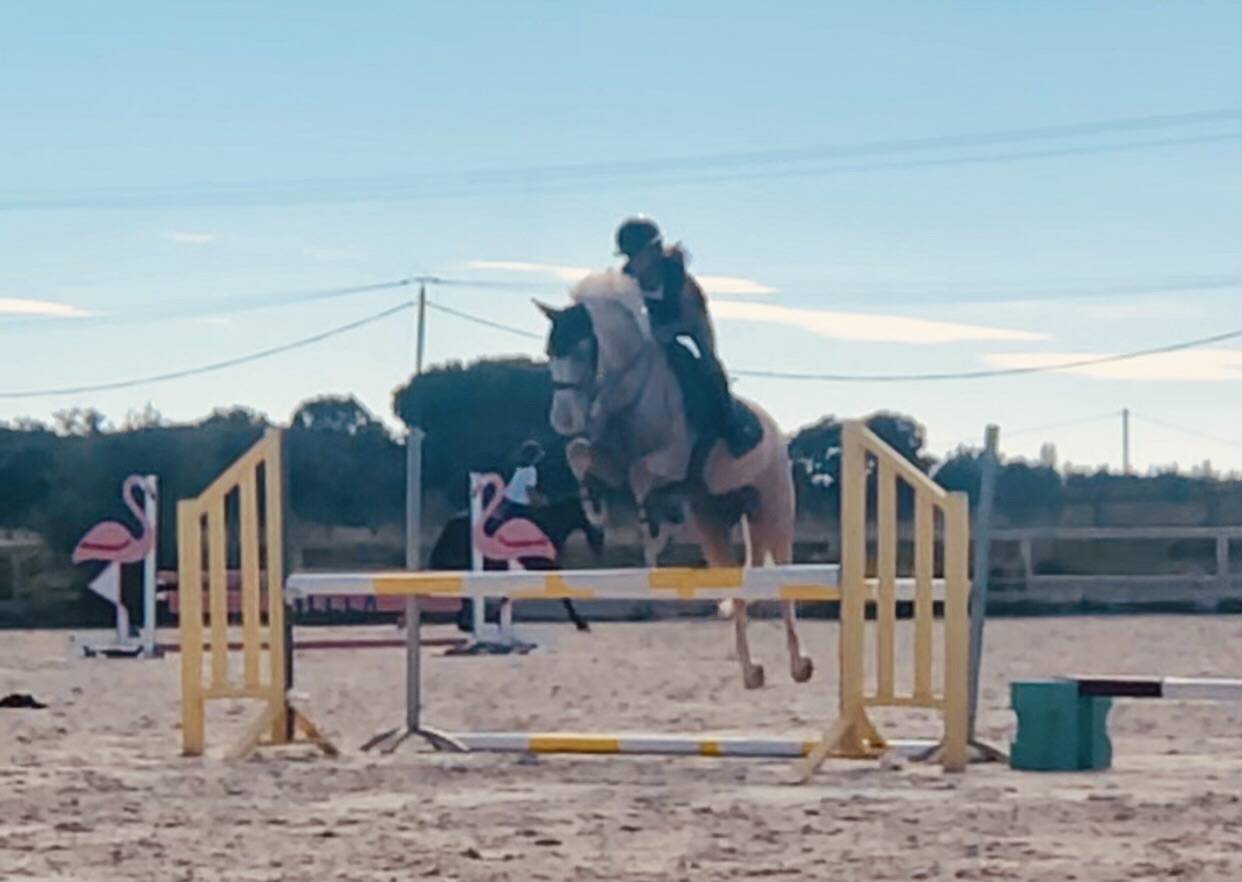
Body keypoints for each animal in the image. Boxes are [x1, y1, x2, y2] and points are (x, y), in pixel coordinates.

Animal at [536, 269, 811, 689]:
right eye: (550, 352)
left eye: (582, 351)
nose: (562, 420)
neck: (630, 391)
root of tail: (775, 431)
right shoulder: (606, 458)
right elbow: (579, 454)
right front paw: (597, 509)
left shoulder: (672, 461)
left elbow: (640, 477)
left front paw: (652, 526)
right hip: (713, 524)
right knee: (739, 586)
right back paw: (751, 671)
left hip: (773, 511)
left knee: (784, 582)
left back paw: (799, 665)